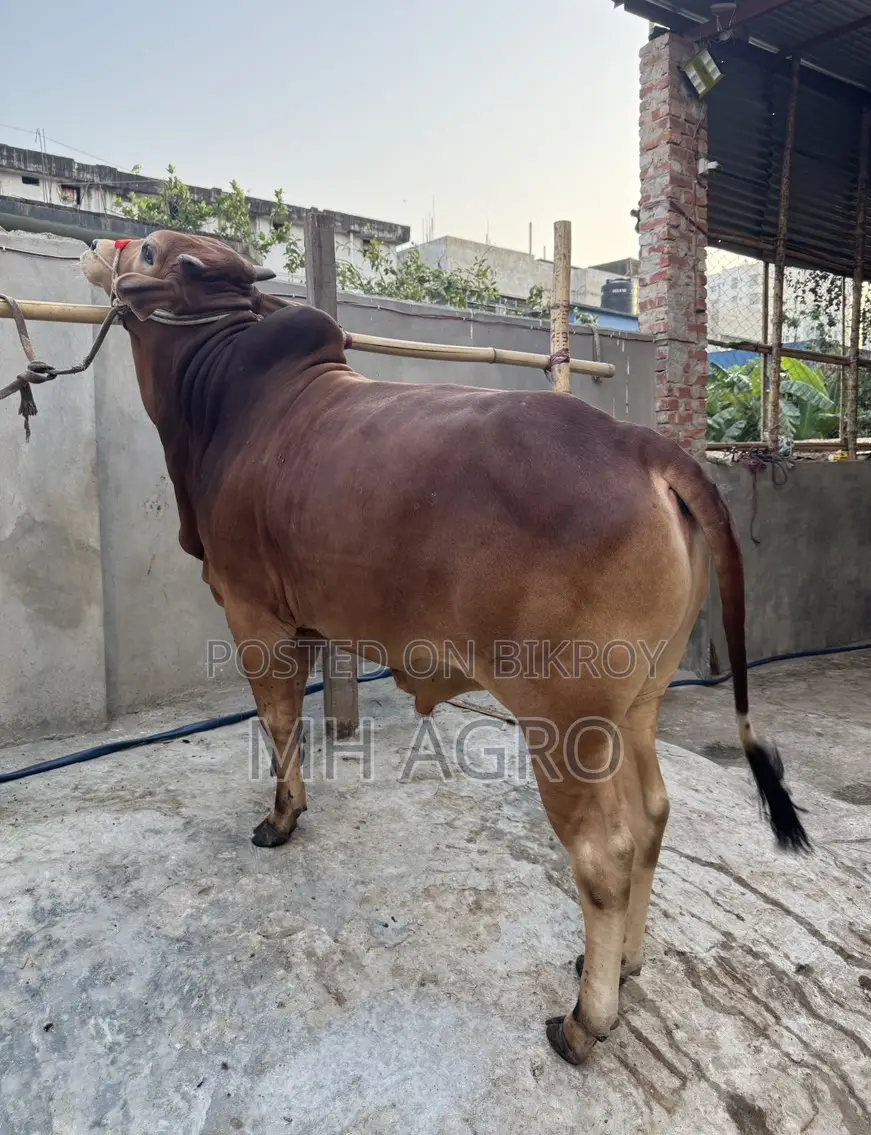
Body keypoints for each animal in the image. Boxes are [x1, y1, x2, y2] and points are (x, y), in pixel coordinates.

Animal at [81, 230, 808, 1066]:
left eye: (150, 250)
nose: (98, 243)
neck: (221, 394)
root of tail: (642, 446)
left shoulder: (252, 613)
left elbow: (278, 721)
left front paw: (282, 817)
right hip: (637, 704)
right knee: (654, 813)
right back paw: (622, 964)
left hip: (564, 723)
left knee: (605, 855)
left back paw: (583, 1019)